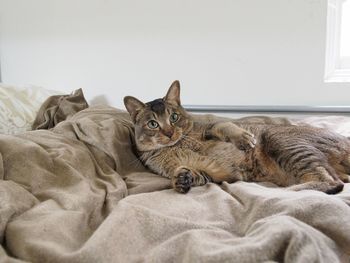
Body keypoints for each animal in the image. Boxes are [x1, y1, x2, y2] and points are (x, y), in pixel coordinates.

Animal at [124, 81, 348, 195]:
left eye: (174, 117)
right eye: (153, 124)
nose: (169, 133)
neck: (176, 145)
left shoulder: (209, 127)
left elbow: (224, 125)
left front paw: (244, 138)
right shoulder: (220, 174)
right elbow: (198, 175)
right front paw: (181, 179)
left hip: (280, 140)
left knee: (332, 182)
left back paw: (285, 191)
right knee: (337, 181)